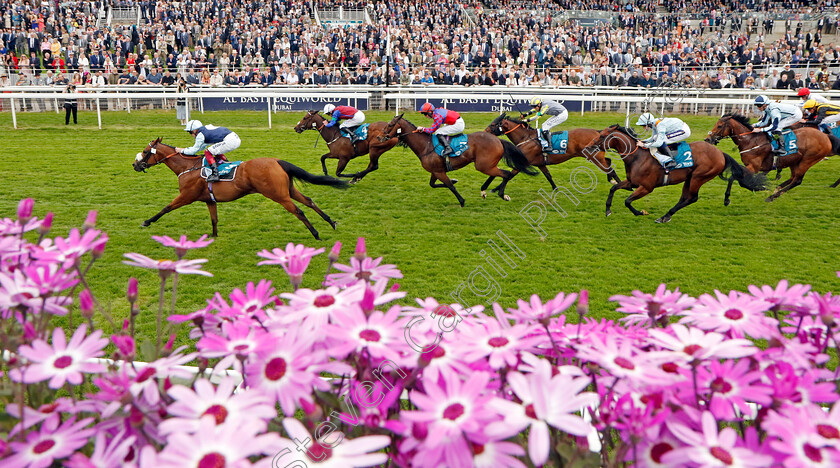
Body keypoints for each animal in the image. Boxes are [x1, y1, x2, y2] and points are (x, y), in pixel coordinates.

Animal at [134, 138, 348, 241]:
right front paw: (213, 236)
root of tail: (276, 161)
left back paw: (316, 234)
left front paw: (146, 222)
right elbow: (214, 219)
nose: (135, 165)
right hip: (288, 190)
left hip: (278, 195)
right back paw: (331, 222)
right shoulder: (209, 200)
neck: (187, 167)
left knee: (299, 211)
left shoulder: (186, 196)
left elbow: (165, 208)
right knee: (309, 201)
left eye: (145, 152)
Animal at [380, 112, 540, 206]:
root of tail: (498, 140)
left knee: (505, 174)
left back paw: (502, 194)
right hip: (487, 165)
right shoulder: (435, 171)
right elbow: (434, 184)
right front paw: (454, 180)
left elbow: (450, 186)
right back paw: (485, 191)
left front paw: (462, 201)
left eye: (390, 125)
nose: (380, 137)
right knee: (499, 174)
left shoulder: (439, 172)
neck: (426, 145)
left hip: (483, 165)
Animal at [486, 113, 624, 188]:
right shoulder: (540, 163)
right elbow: (548, 176)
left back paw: (619, 183)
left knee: (609, 168)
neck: (526, 137)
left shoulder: (523, 161)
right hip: (595, 156)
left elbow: (509, 175)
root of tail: (597, 132)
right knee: (608, 161)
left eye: (493, 125)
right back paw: (612, 180)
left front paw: (494, 189)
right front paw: (555, 190)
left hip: (593, 156)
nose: (485, 132)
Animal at [584, 126, 768, 223]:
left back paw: (665, 216)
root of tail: (719, 153)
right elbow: (613, 188)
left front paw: (640, 212)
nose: (587, 147)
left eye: (601, 136)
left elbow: (627, 201)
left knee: (692, 198)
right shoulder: (631, 182)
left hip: (699, 177)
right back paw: (666, 216)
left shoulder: (646, 187)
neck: (637, 157)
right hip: (690, 178)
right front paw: (608, 210)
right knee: (685, 198)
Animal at [704, 114, 836, 203]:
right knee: (793, 178)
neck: (750, 141)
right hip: (795, 161)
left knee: (797, 180)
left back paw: (772, 197)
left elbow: (736, 179)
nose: (707, 139)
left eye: (719, 126)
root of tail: (825, 136)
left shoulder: (754, 166)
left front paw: (727, 198)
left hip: (808, 160)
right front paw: (761, 186)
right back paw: (776, 189)